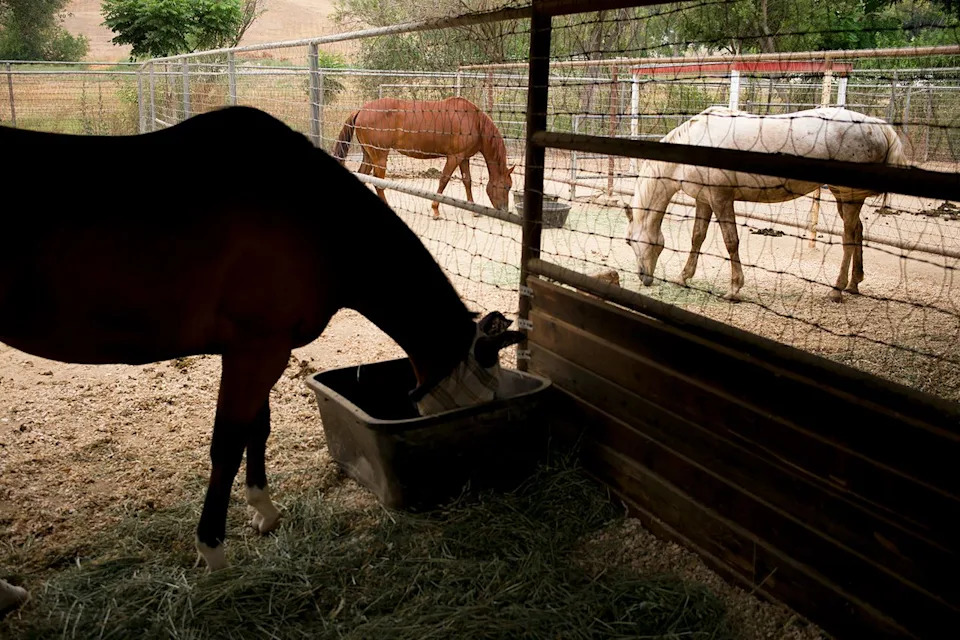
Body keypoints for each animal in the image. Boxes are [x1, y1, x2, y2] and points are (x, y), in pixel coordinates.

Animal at [333, 97, 515, 219]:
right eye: (507, 186)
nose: (504, 210)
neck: (474, 121)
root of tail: (361, 110)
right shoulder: (454, 157)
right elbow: (444, 180)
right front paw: (435, 210)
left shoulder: (464, 158)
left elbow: (467, 181)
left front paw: (472, 208)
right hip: (379, 156)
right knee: (378, 182)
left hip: (369, 156)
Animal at [626, 106, 908, 302]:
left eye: (628, 241)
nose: (643, 277)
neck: (696, 141)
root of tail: (879, 126)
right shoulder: (704, 200)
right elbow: (698, 237)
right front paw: (684, 277)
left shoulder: (721, 199)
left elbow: (731, 241)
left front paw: (734, 289)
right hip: (843, 197)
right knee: (858, 230)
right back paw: (854, 284)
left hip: (849, 196)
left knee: (849, 237)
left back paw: (837, 290)